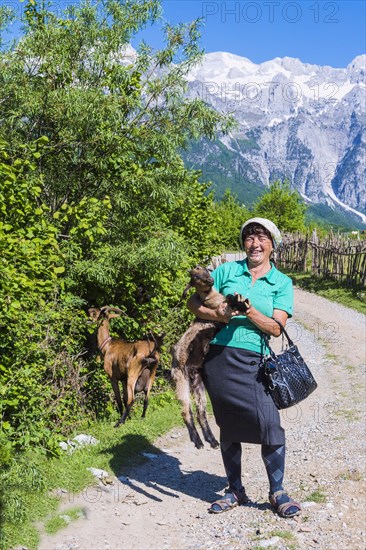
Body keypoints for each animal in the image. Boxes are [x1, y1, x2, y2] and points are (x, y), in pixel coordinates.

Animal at [172, 268, 249, 452]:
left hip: (198, 384)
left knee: (201, 412)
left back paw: (211, 440)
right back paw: (198, 441)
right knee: (186, 411)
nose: (210, 279)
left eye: (204, 269)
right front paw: (240, 303)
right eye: (194, 277)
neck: (212, 299)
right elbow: (229, 304)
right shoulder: (220, 315)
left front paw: (241, 301)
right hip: (180, 381)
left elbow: (231, 299)